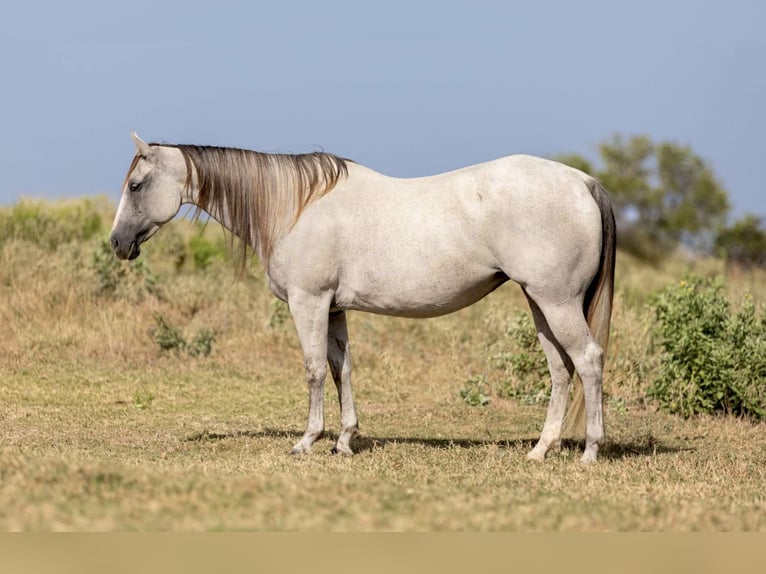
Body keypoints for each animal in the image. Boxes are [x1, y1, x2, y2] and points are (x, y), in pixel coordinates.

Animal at [110, 132, 616, 463]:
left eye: (136, 185)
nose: (117, 243)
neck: (294, 205)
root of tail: (583, 182)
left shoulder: (309, 302)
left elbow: (314, 370)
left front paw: (308, 441)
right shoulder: (334, 308)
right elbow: (342, 369)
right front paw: (344, 441)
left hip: (557, 302)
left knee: (588, 361)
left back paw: (590, 451)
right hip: (540, 303)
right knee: (560, 369)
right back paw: (541, 449)